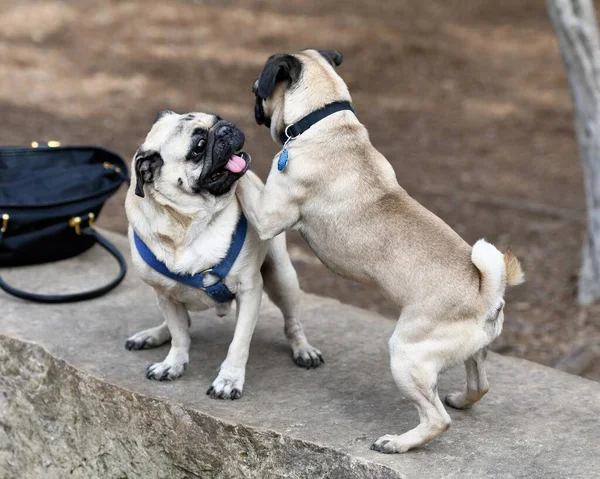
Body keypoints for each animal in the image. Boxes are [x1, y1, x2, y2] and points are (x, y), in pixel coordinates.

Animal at [237, 49, 524, 454]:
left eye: (255, 90)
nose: (252, 111)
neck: (324, 121)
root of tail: (486, 292)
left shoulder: (265, 216)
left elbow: (243, 179)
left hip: (406, 355)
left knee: (437, 420)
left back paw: (399, 443)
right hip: (469, 353)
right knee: (479, 385)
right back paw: (459, 399)